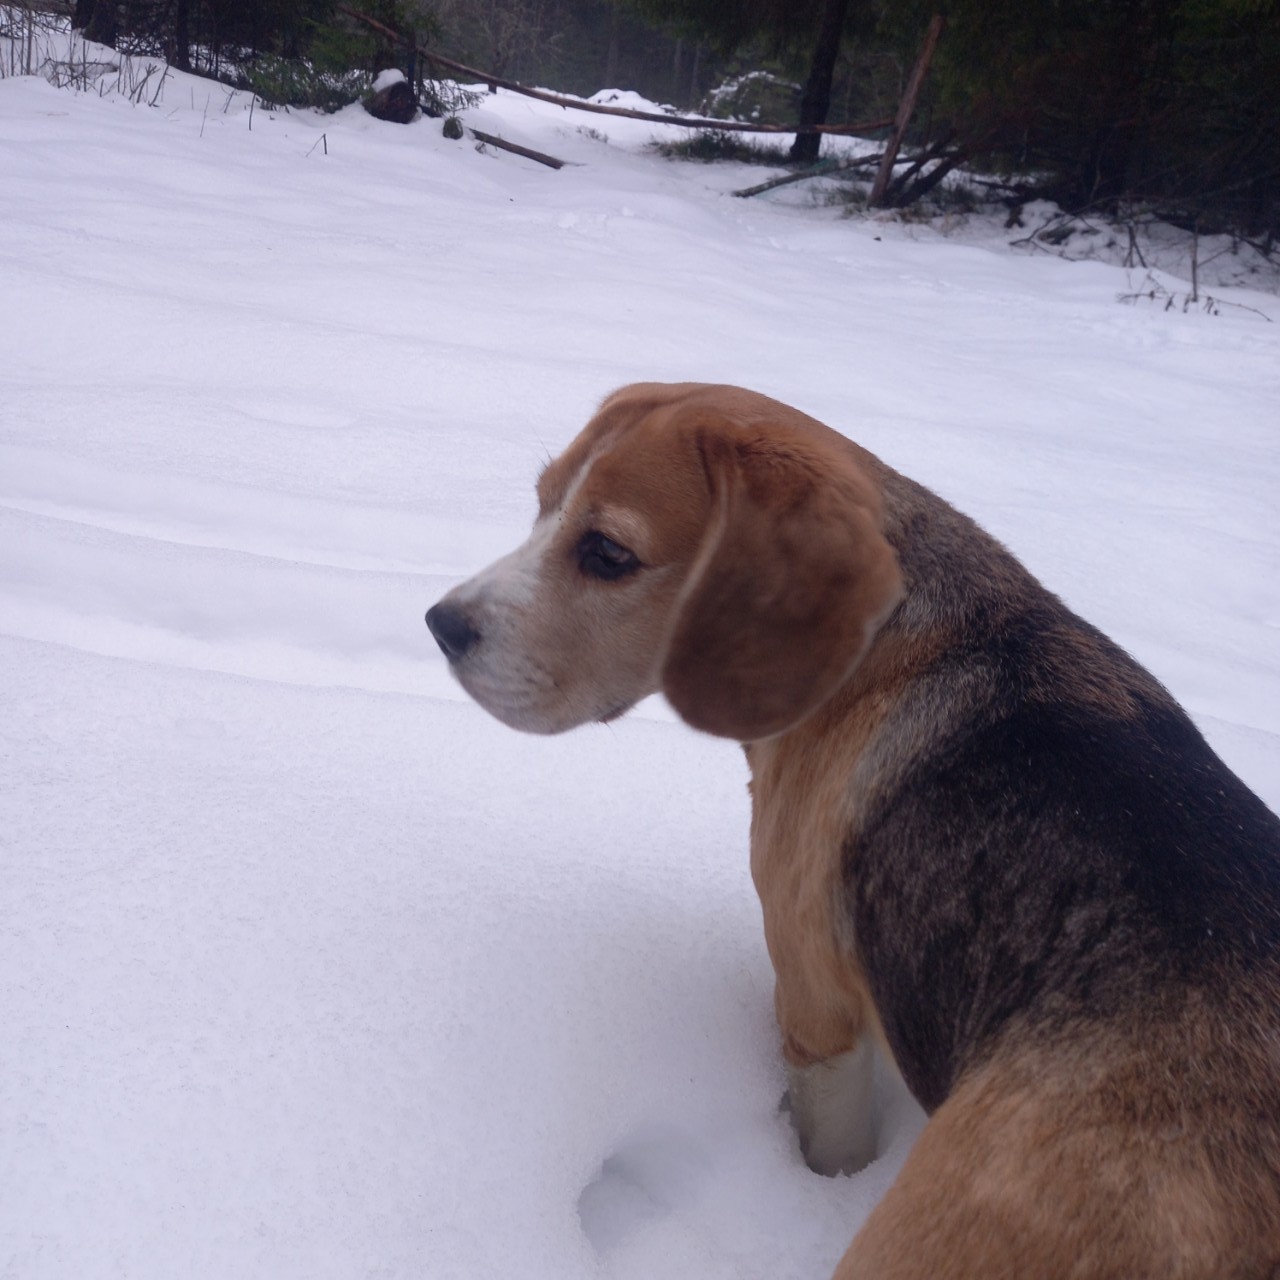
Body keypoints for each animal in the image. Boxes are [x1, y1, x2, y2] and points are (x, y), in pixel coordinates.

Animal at [430, 381, 1280, 1280]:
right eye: (541, 505)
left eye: (607, 553)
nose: (439, 624)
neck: (882, 644)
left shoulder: (816, 1006)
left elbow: (833, 1142)